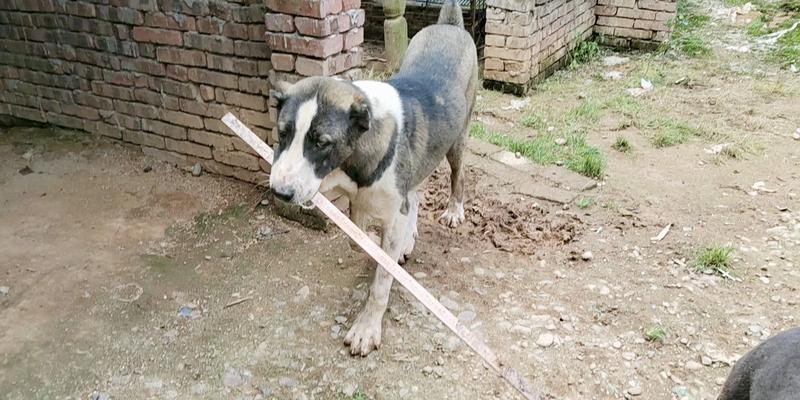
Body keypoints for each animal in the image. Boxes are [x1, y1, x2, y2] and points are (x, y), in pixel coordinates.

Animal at [272, 0, 478, 356]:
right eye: (283, 134)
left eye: (321, 143)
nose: (279, 192)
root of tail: (450, 25)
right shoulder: (361, 203)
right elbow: (360, 240)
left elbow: (382, 280)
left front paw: (367, 328)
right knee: (415, 196)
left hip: (457, 141)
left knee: (457, 176)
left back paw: (453, 210)